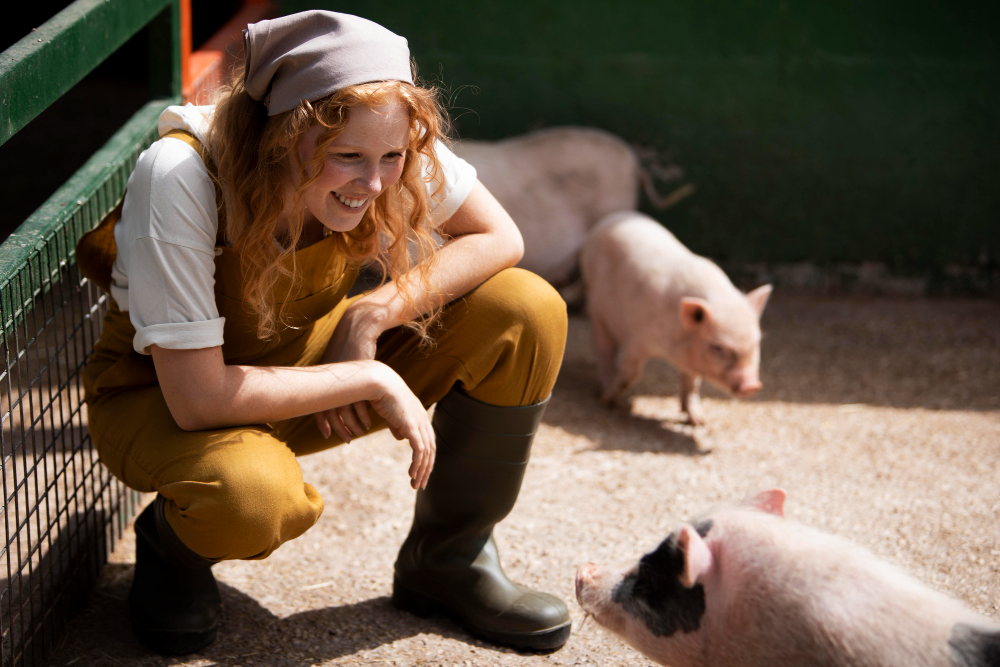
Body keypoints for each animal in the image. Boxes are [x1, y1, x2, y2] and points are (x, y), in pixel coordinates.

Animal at [580, 211, 772, 426]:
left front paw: (699, 421)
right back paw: (603, 387)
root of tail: (608, 220)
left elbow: (693, 384)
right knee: (602, 348)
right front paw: (607, 401)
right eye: (717, 347)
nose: (752, 385)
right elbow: (631, 373)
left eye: (756, 343)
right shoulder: (639, 339)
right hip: (596, 308)